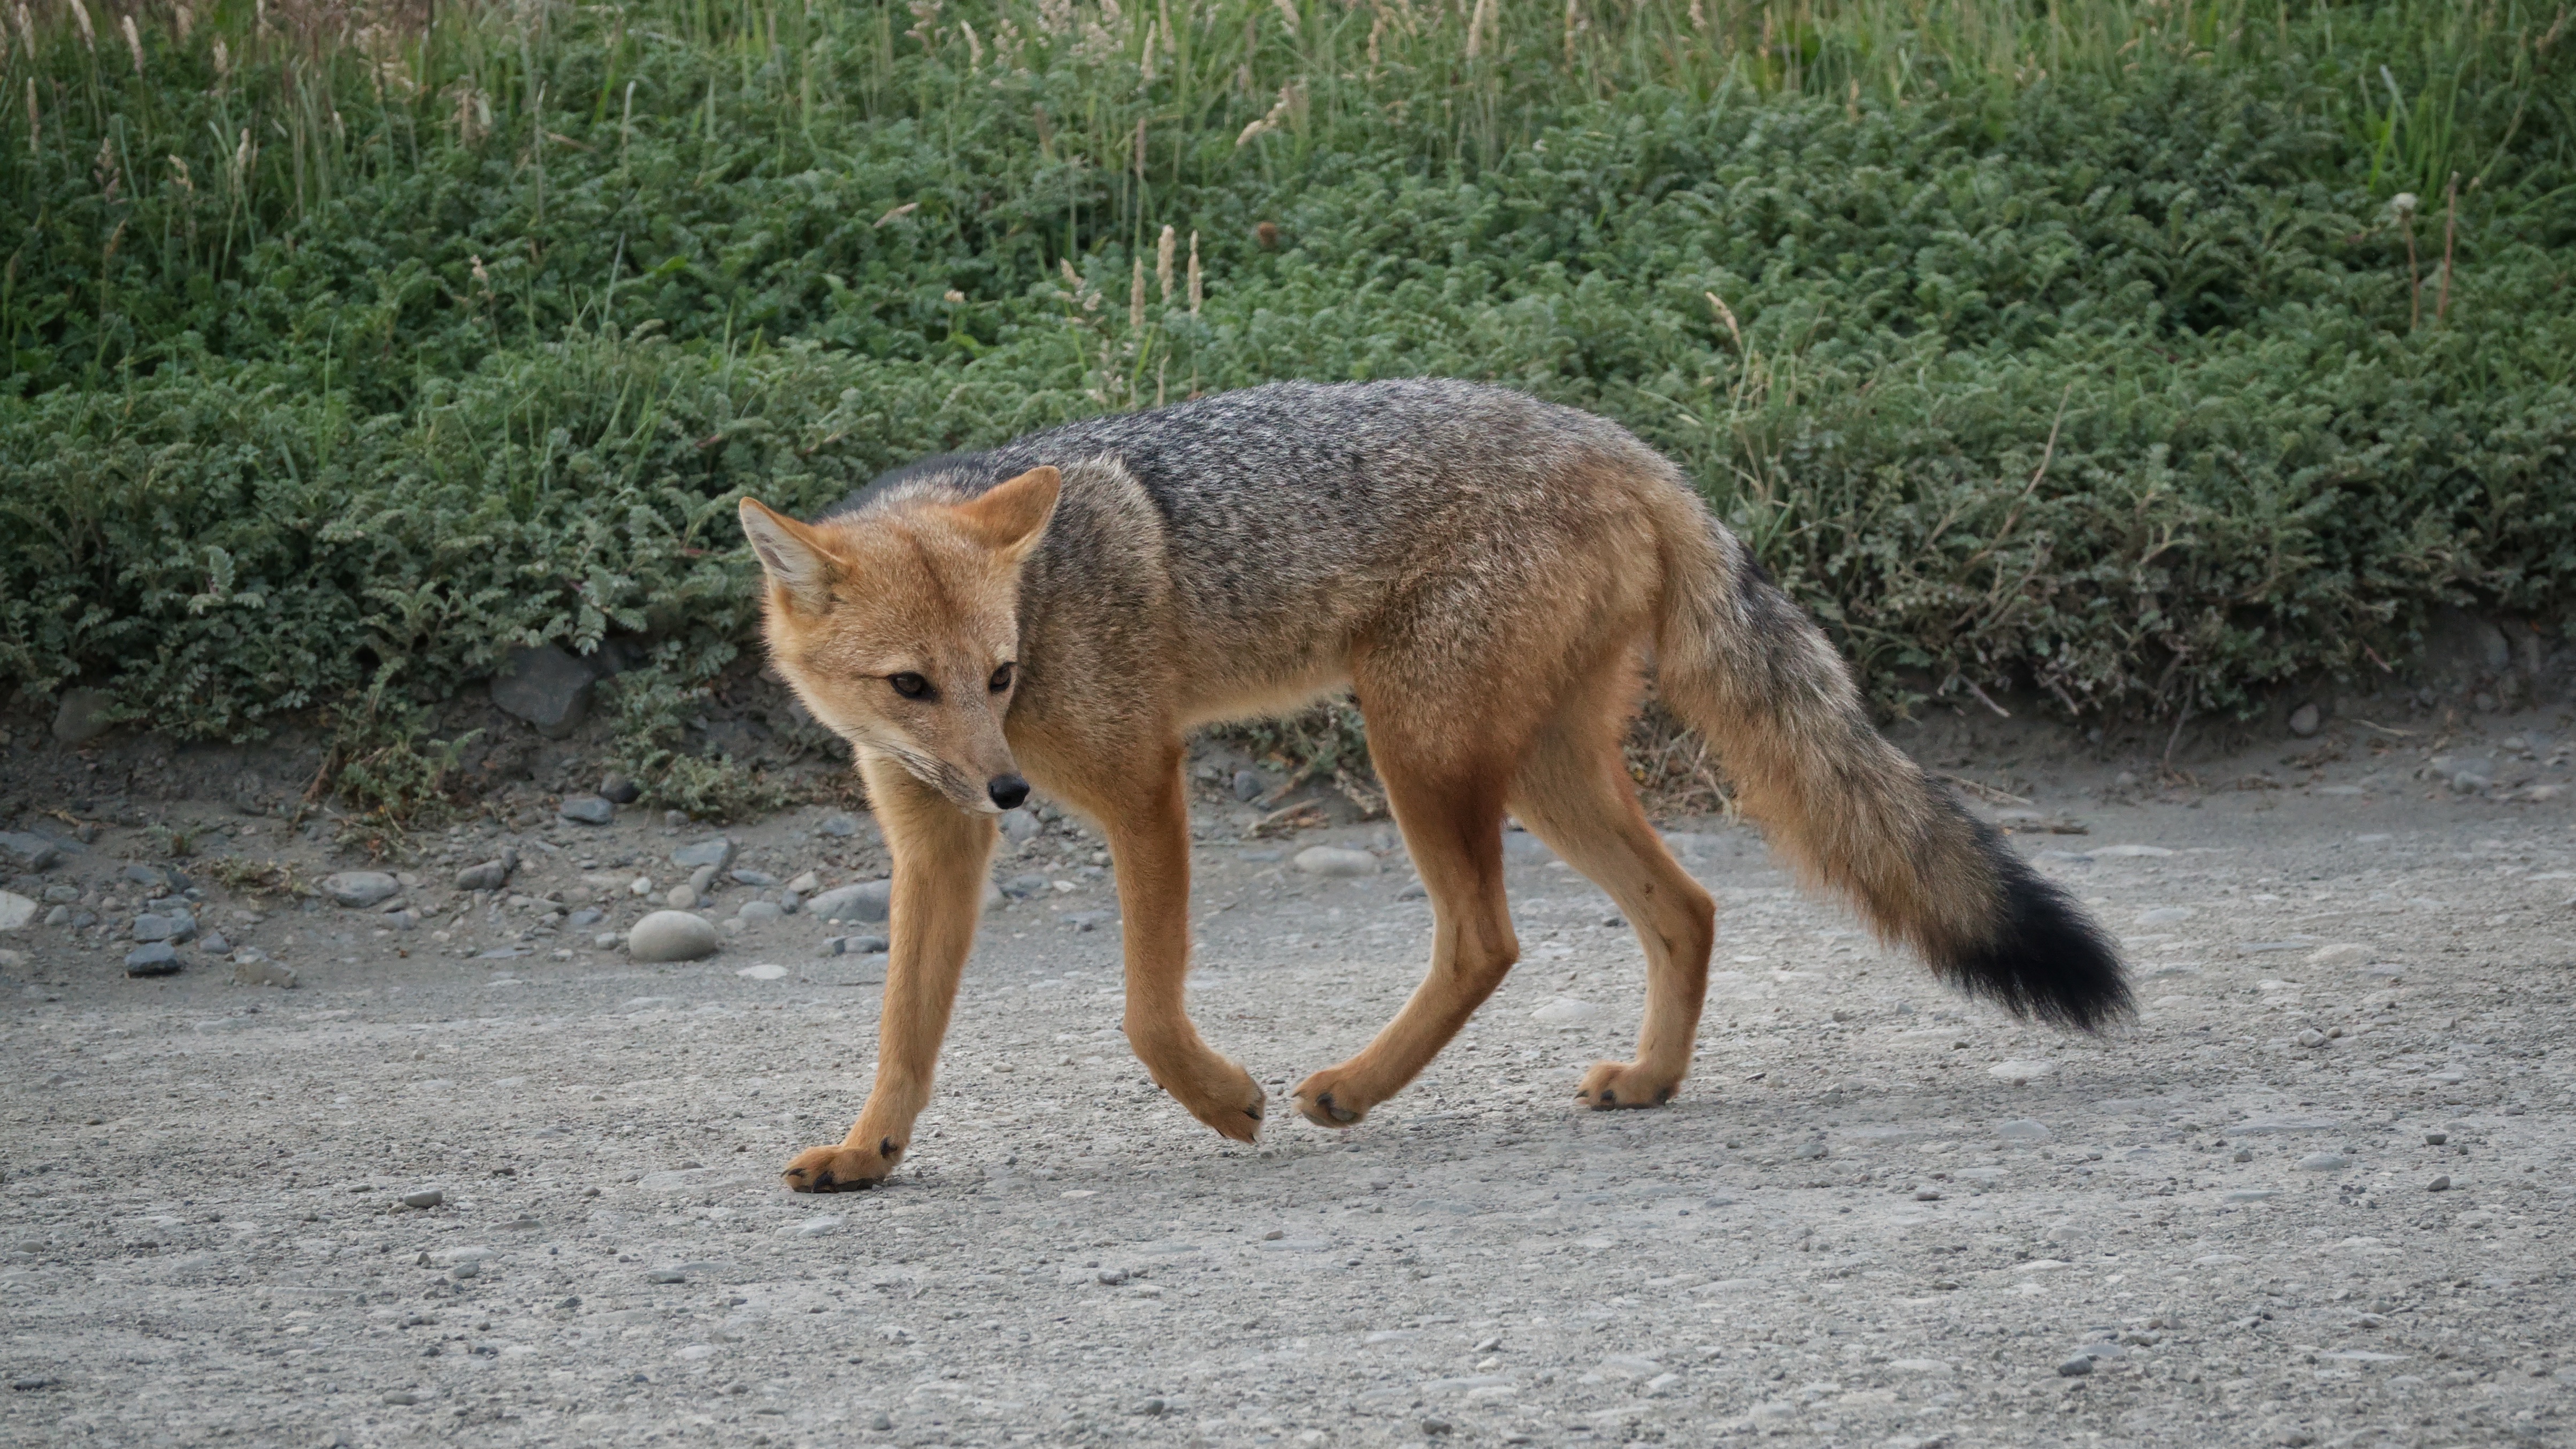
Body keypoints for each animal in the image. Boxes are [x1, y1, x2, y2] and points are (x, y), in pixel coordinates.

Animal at [736, 379, 2128, 1192]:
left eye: (1003, 673)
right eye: (912, 687)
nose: (1012, 795)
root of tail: (1633, 448)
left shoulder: (1143, 789)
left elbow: (1143, 1012)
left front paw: (1225, 1103)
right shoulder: (932, 842)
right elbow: (903, 1028)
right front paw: (869, 1152)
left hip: (1418, 748)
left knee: (1489, 939)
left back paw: (1350, 1088)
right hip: (1536, 770)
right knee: (1685, 908)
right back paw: (1648, 1079)